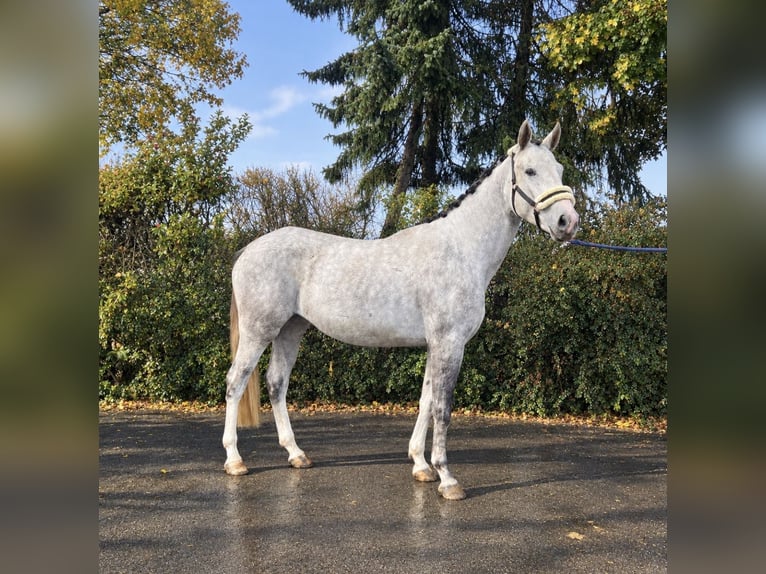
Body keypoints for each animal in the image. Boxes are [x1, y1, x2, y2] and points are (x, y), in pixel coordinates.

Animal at [222, 120, 579, 500]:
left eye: (559, 170)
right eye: (530, 171)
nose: (567, 221)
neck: (460, 248)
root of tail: (247, 250)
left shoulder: (435, 345)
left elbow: (426, 401)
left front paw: (421, 466)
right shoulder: (450, 344)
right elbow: (442, 408)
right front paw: (447, 478)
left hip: (291, 329)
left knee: (276, 383)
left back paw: (296, 454)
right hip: (259, 331)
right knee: (235, 382)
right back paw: (234, 460)